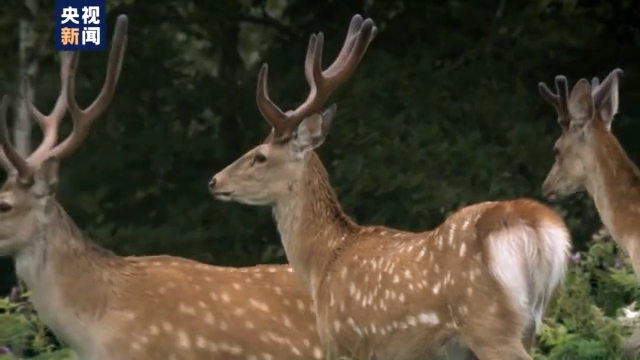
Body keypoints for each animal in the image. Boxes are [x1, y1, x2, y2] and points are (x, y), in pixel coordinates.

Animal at [211, 12, 576, 358]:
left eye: (259, 156)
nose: (214, 181)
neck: (323, 264)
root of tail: (536, 224)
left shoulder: (349, 342)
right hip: (529, 323)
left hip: (490, 324)